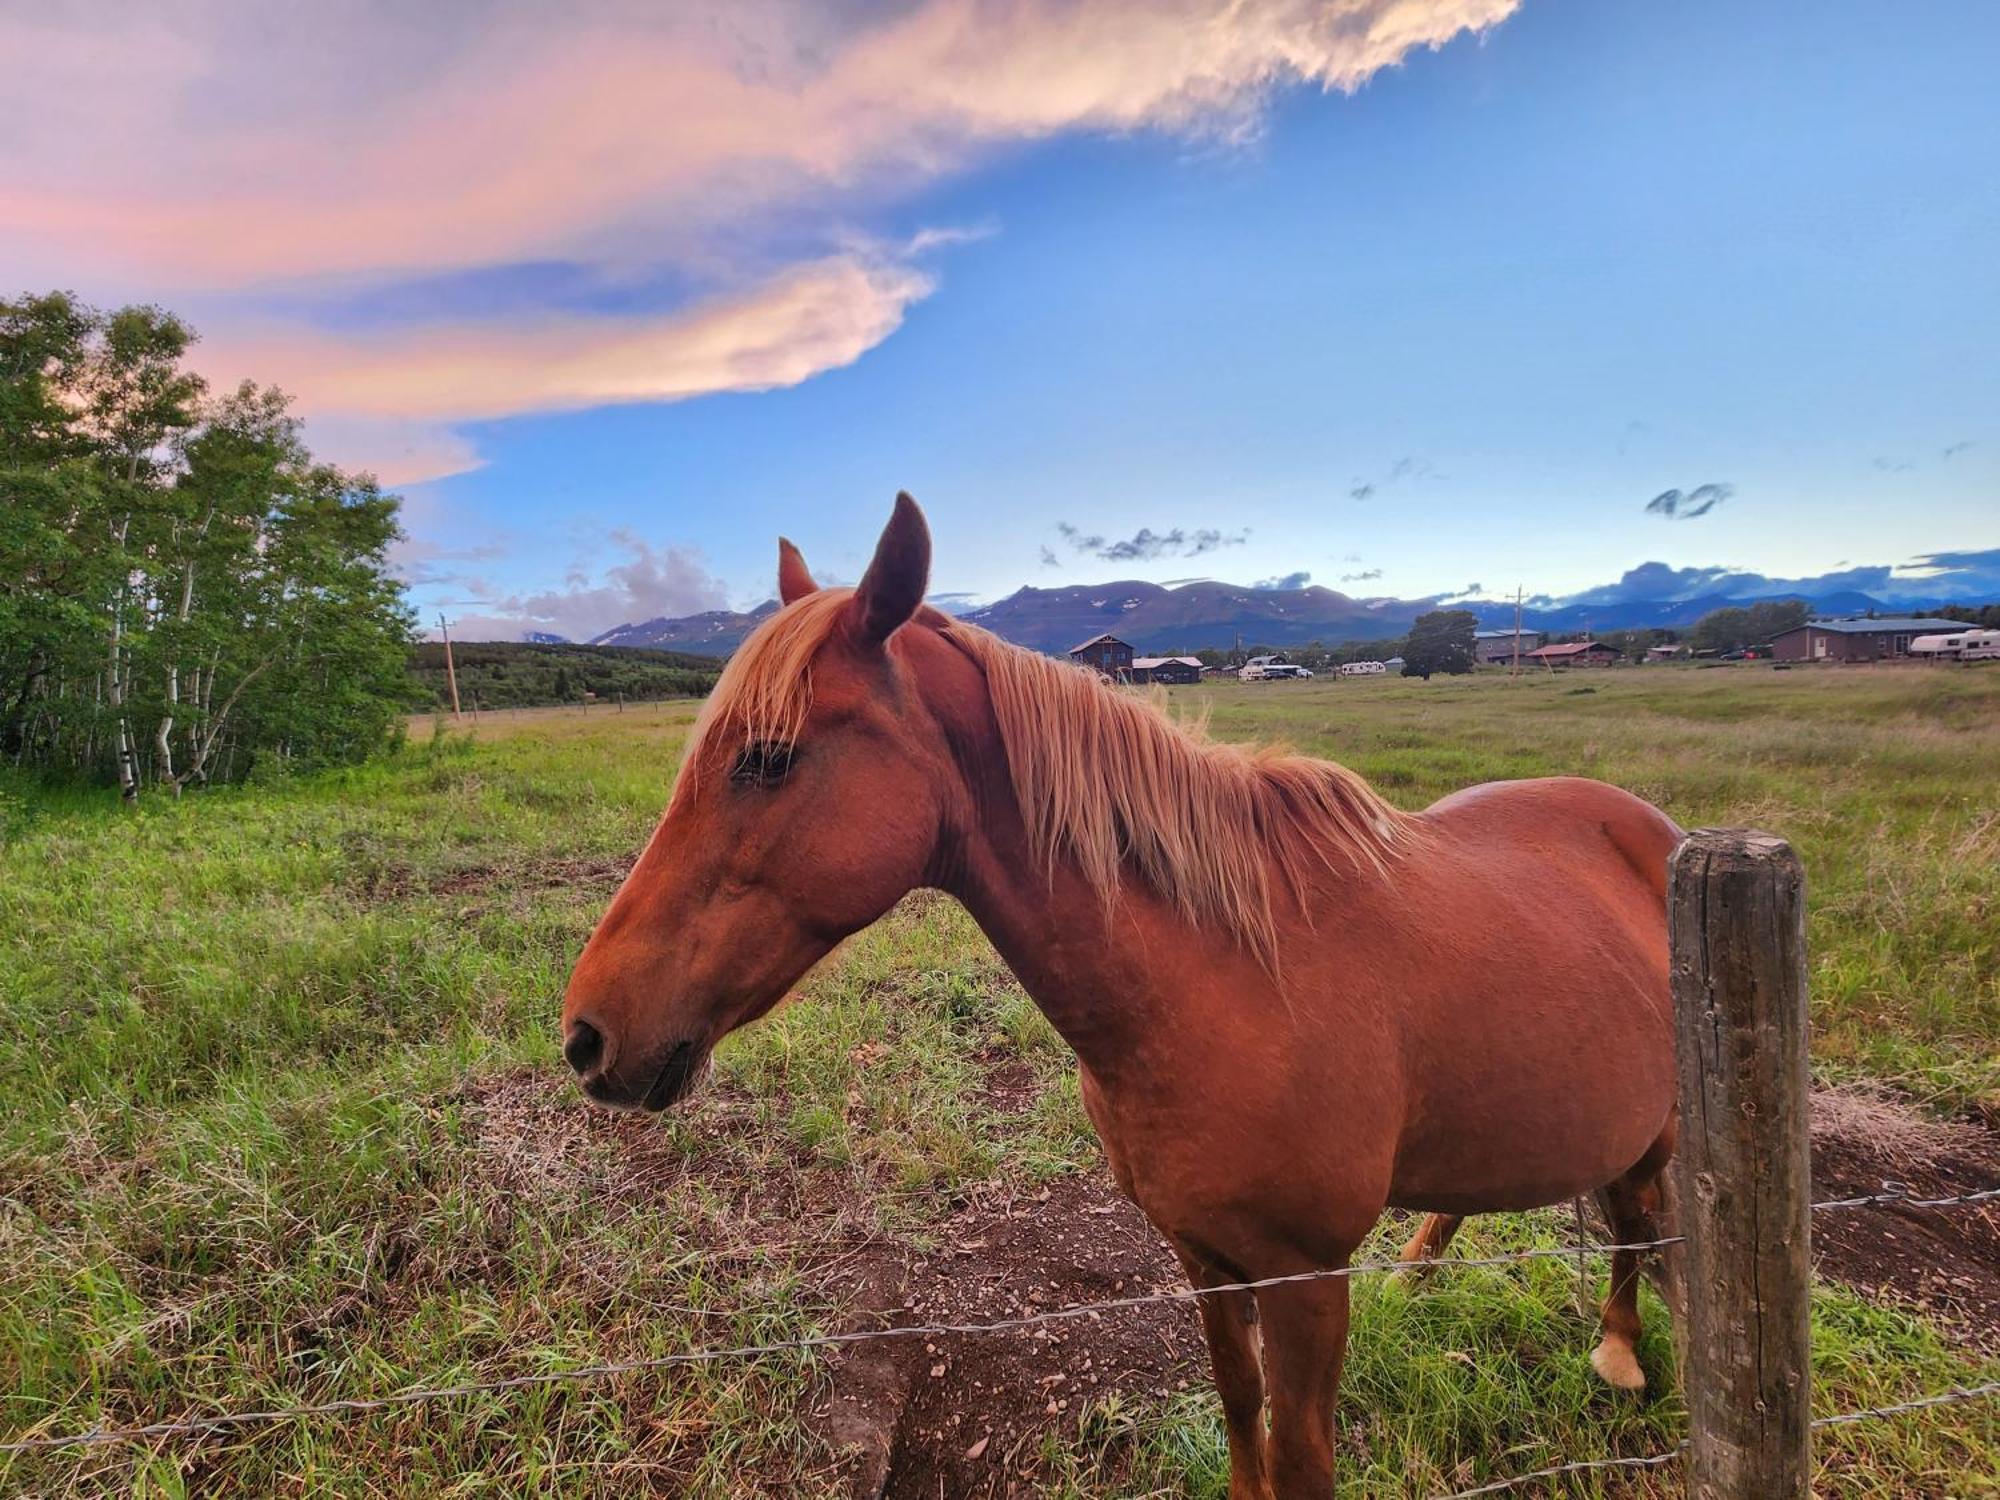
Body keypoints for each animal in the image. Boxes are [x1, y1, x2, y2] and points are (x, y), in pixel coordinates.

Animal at [556, 496, 1680, 1500]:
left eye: (767, 758)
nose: (585, 1035)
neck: (1226, 980)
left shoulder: (1307, 1281)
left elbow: (1300, 1459)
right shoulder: (1203, 1256)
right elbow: (1239, 1411)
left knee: (1638, 1216)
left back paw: (1619, 1353)